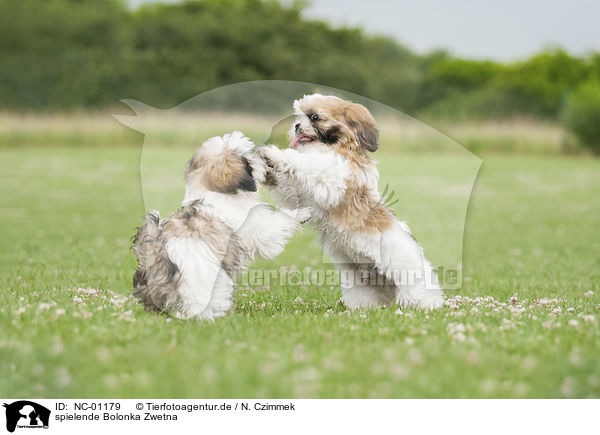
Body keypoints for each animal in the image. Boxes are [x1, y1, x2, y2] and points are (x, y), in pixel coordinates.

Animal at [132, 130, 310, 320]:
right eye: (248, 159)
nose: (262, 158)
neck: (212, 191)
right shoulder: (257, 228)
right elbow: (277, 222)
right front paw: (302, 212)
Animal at [260, 94, 442, 310]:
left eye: (314, 117)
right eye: (299, 116)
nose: (296, 125)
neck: (336, 148)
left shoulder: (334, 177)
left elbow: (307, 163)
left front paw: (274, 154)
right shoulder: (302, 194)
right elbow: (289, 188)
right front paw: (266, 171)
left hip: (408, 270)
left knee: (420, 288)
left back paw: (427, 304)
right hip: (360, 281)